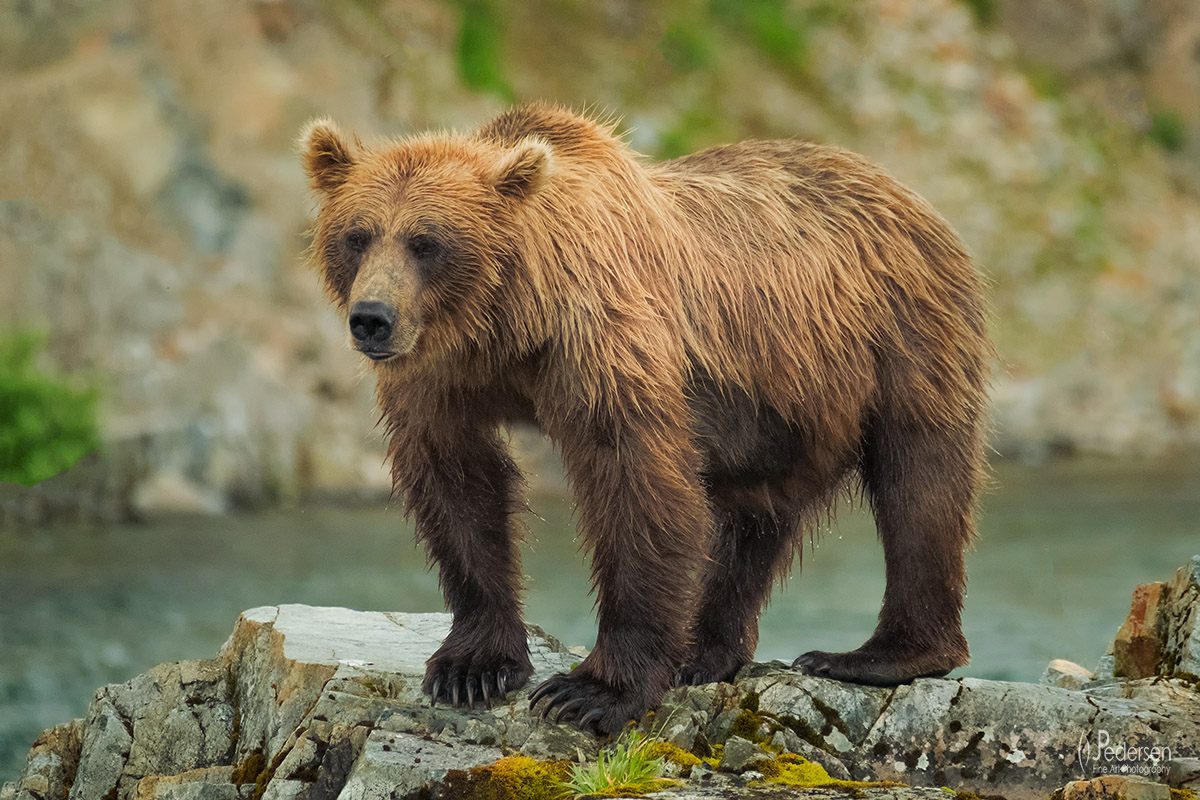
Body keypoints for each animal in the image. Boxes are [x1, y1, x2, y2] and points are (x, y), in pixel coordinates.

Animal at [300, 102, 989, 736]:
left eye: (427, 242)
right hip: (779, 399)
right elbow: (457, 479)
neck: (507, 326)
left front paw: (590, 692)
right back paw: (704, 653)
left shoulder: (599, 338)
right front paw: (473, 667)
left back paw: (875, 655)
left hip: (901, 333)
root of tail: (904, 190)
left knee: (919, 482)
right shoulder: (439, 374)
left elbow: (634, 480)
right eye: (357, 235)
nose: (372, 319)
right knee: (753, 514)